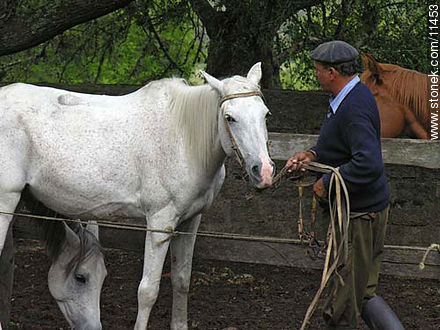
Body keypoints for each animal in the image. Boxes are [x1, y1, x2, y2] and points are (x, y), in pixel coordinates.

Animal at [0, 63, 274, 328]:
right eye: (230, 117)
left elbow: (182, 280)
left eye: (265, 114)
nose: (264, 171)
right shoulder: (160, 224)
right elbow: (148, 291)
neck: (184, 138)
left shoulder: (189, 222)